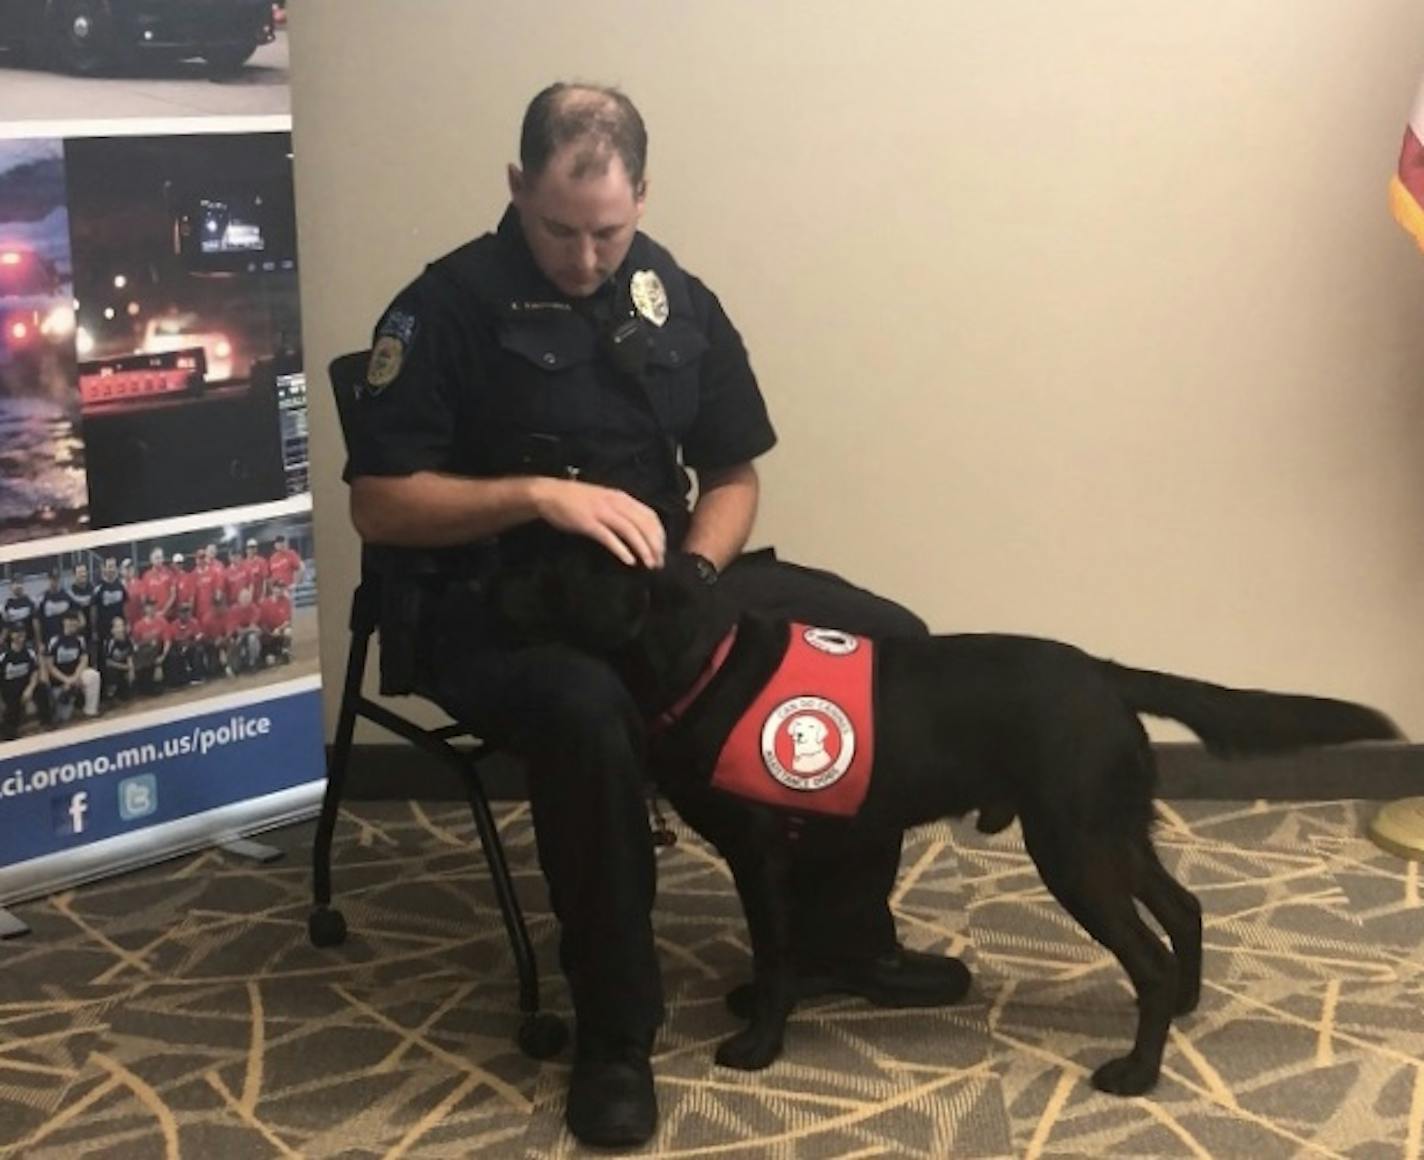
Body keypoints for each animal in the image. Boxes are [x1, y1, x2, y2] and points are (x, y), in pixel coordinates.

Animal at [492, 543, 1401, 1098]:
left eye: (552, 566)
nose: (479, 581)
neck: (701, 662)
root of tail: (1106, 674)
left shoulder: (760, 853)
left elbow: (779, 953)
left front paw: (758, 1044)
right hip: (1109, 830)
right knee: (1186, 908)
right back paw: (1184, 1003)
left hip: (1071, 846)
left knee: (1145, 952)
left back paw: (1138, 1070)